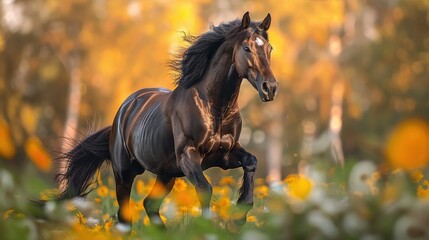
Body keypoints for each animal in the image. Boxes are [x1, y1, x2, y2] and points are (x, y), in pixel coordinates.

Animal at [56, 11, 278, 231]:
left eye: (269, 48)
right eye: (247, 47)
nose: (270, 88)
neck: (215, 108)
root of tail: (123, 111)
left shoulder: (224, 155)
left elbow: (251, 162)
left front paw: (240, 215)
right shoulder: (188, 155)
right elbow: (205, 189)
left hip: (166, 174)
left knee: (149, 204)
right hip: (124, 174)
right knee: (126, 215)